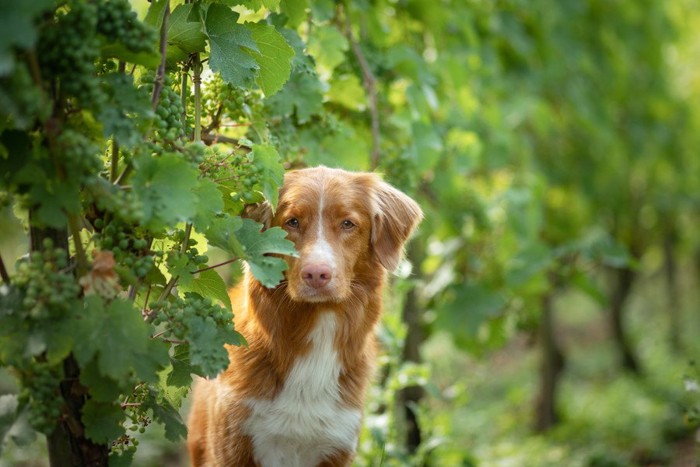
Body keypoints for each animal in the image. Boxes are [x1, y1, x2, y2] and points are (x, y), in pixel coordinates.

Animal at [186, 166, 424, 466]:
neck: (317, 326)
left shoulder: (337, 446)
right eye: (292, 222)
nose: (317, 274)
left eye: (348, 224)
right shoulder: (232, 446)